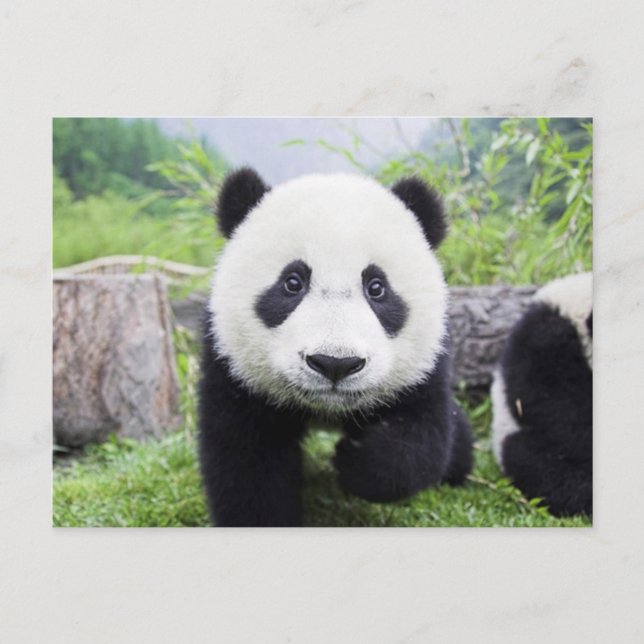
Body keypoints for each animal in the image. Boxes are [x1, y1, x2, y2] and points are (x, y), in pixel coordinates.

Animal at [198, 168, 473, 526]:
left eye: (376, 287)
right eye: (292, 283)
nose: (335, 364)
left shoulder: (426, 365)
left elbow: (421, 437)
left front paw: (357, 459)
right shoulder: (232, 367)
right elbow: (247, 460)